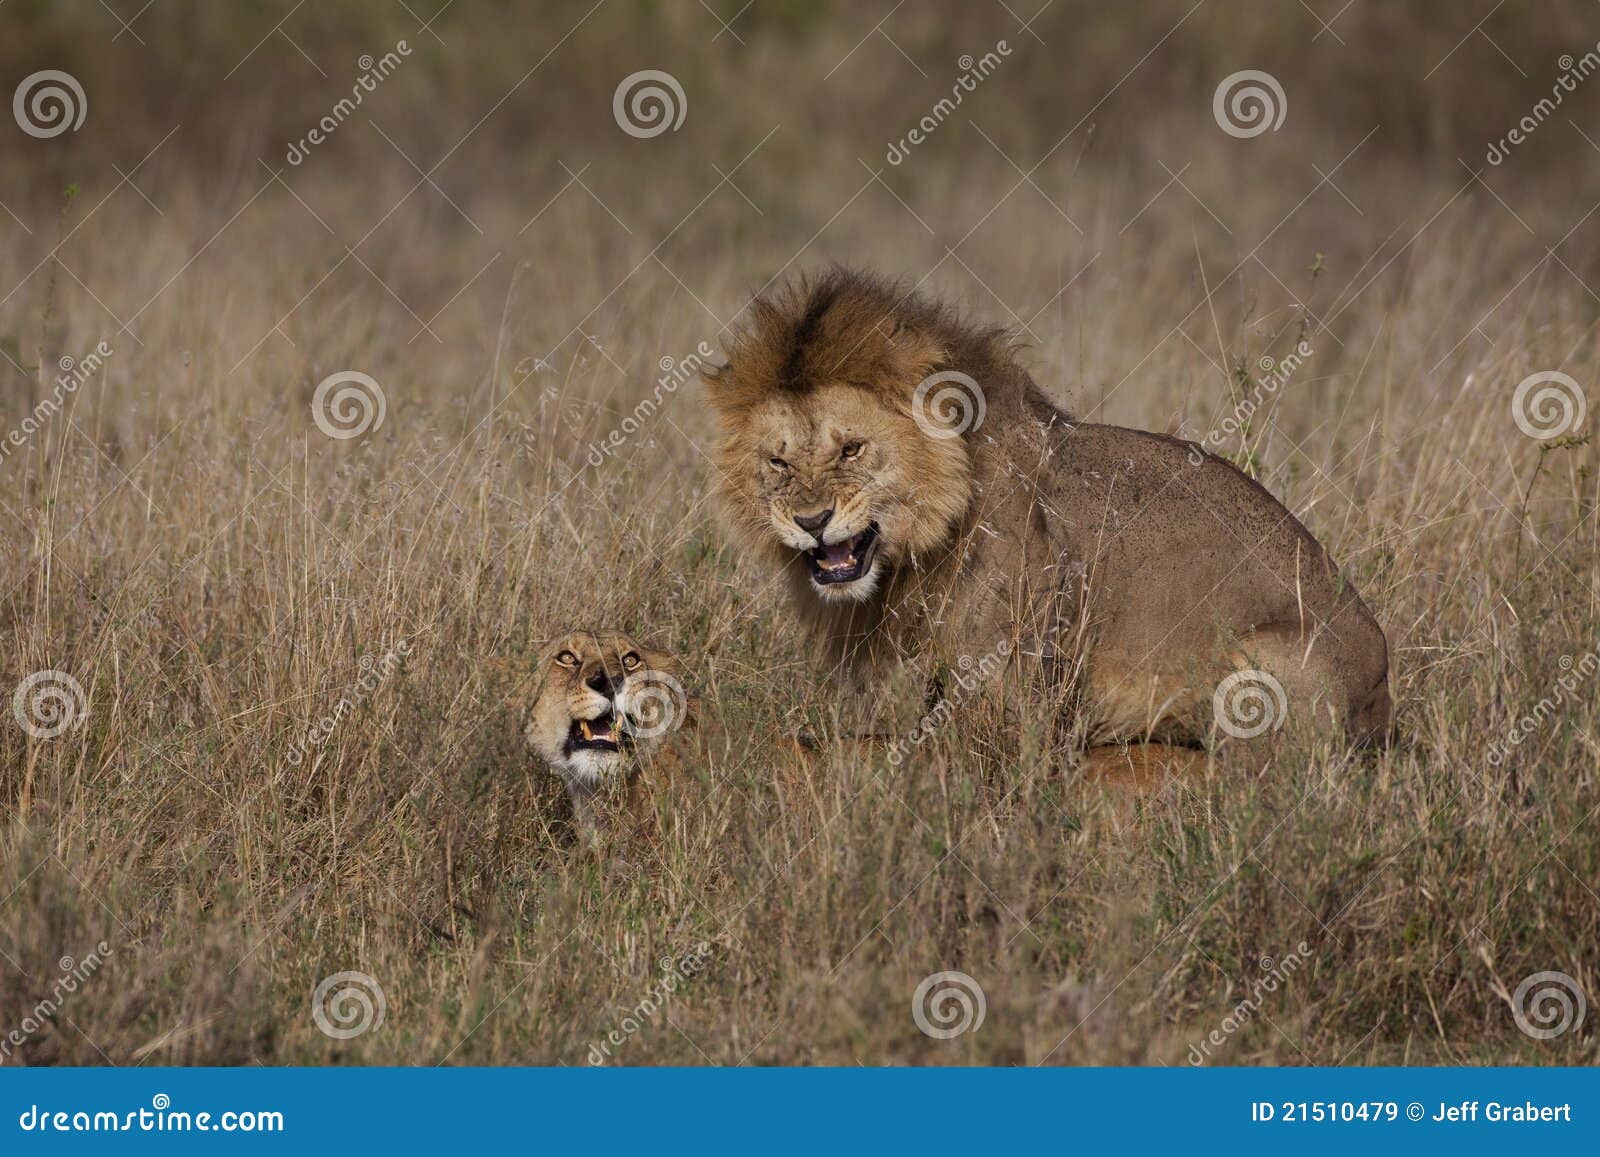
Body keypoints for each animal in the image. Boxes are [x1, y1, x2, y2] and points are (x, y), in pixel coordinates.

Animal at [702, 268, 1391, 776]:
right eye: (778, 462)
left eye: (851, 450)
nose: (811, 520)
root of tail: (1385, 700)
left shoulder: (1006, 707)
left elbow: (856, 745)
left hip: (1260, 660)